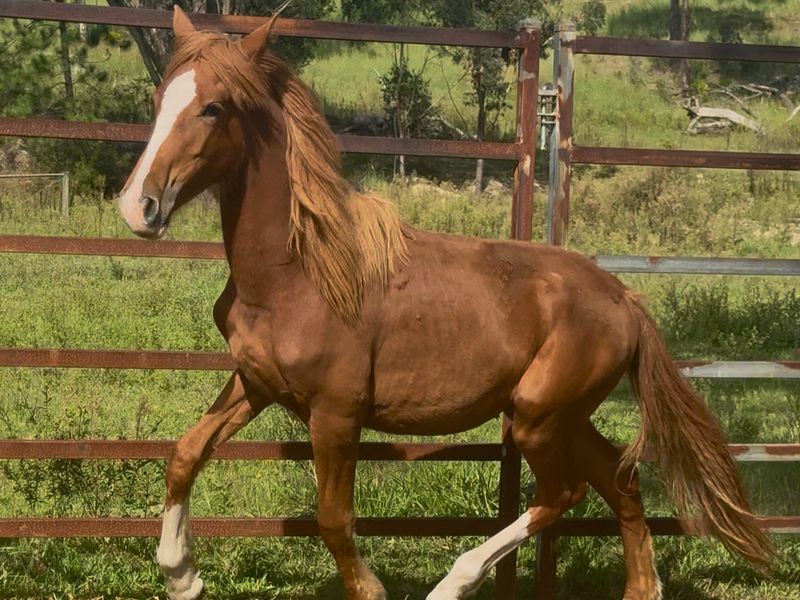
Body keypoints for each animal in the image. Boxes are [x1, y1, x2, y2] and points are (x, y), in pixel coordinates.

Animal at [117, 7, 774, 600]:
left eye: (213, 107)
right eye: (159, 98)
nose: (138, 208)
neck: (297, 274)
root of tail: (625, 298)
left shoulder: (336, 413)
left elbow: (333, 519)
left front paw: (371, 589)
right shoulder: (256, 382)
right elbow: (185, 453)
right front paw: (181, 576)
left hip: (537, 418)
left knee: (564, 493)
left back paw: (452, 584)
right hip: (565, 416)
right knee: (622, 483)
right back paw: (640, 590)